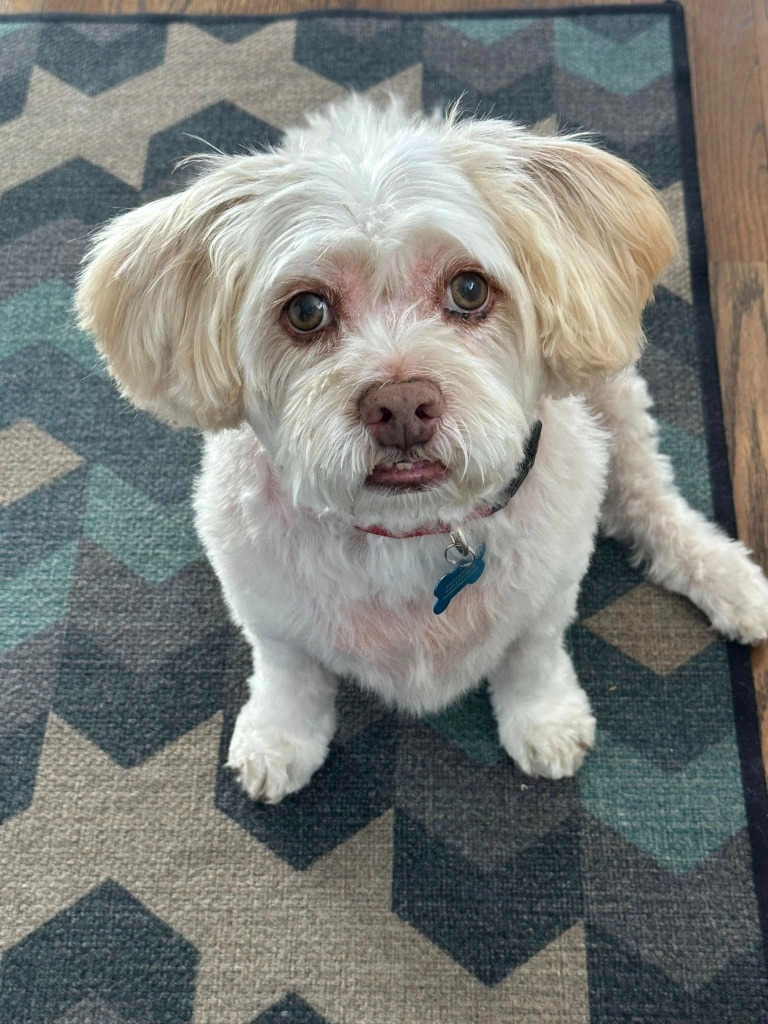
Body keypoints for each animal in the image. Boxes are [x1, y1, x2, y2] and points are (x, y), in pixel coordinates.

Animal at [73, 97, 768, 798]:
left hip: (615, 400)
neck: (409, 534)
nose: (401, 406)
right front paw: (279, 736)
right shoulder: (263, 602)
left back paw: (731, 579)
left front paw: (544, 719)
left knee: (646, 498)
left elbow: (534, 653)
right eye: (305, 310)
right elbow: (287, 669)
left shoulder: (550, 590)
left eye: (469, 289)